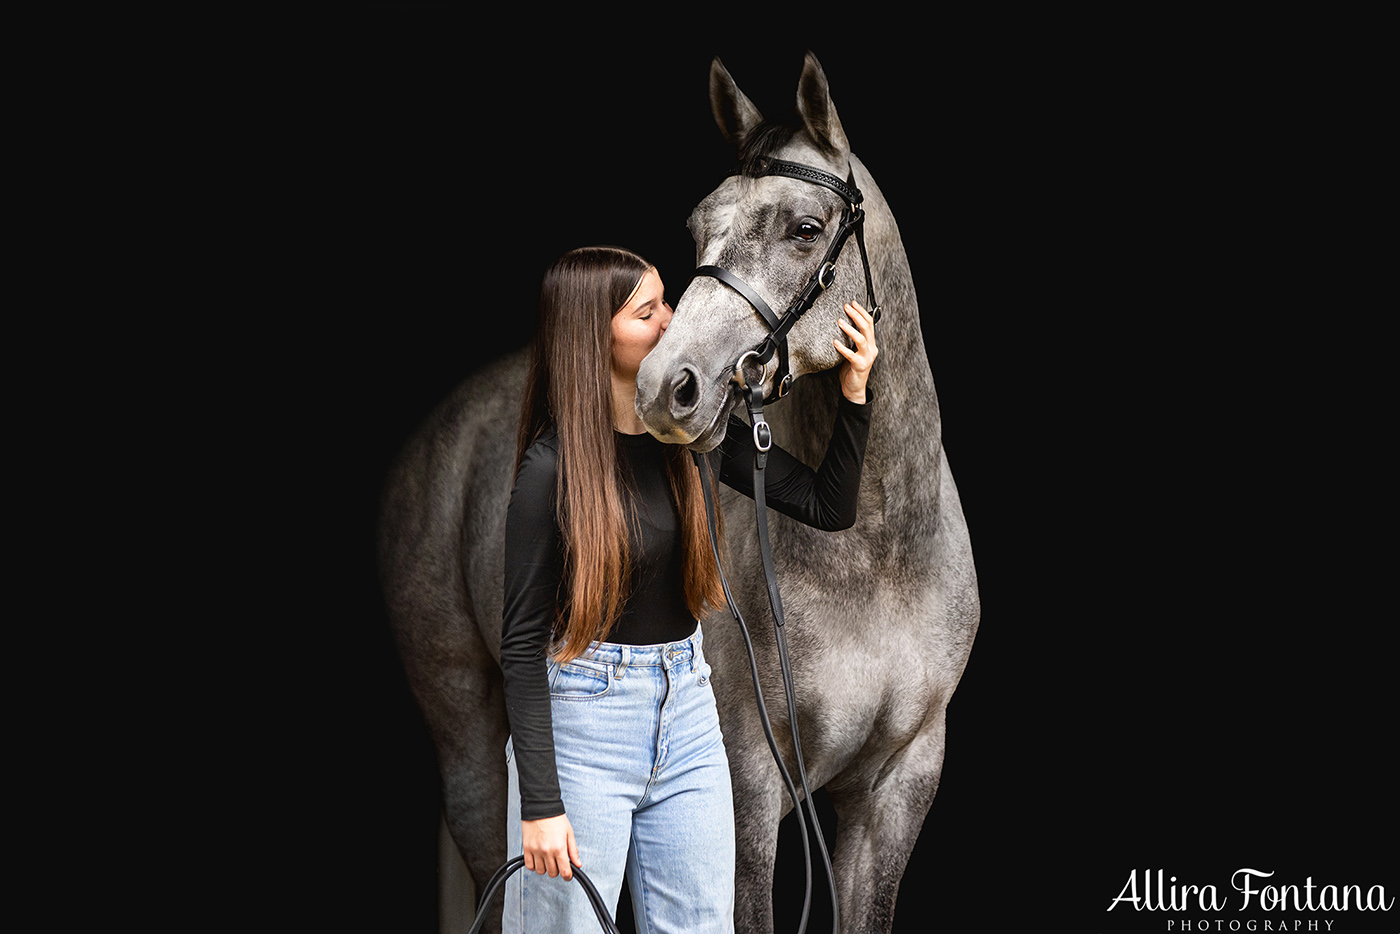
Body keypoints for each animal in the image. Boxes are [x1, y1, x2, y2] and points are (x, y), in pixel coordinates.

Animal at [378, 52, 980, 934]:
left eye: (806, 229)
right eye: (700, 225)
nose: (671, 386)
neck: (874, 556)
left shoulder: (898, 784)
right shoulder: (750, 781)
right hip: (470, 734)